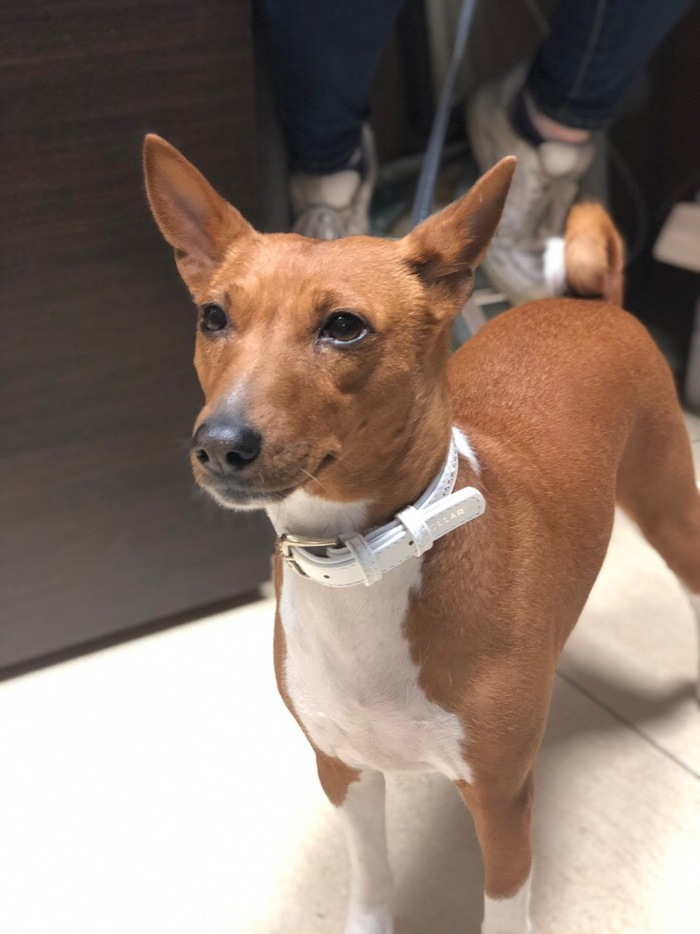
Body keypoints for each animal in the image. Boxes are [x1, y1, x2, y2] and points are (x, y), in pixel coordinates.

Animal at [143, 134, 700, 934]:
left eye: (344, 326)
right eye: (213, 317)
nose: (219, 444)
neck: (364, 563)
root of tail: (598, 306)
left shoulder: (501, 797)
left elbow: (504, 903)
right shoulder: (342, 768)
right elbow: (372, 878)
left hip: (668, 509)